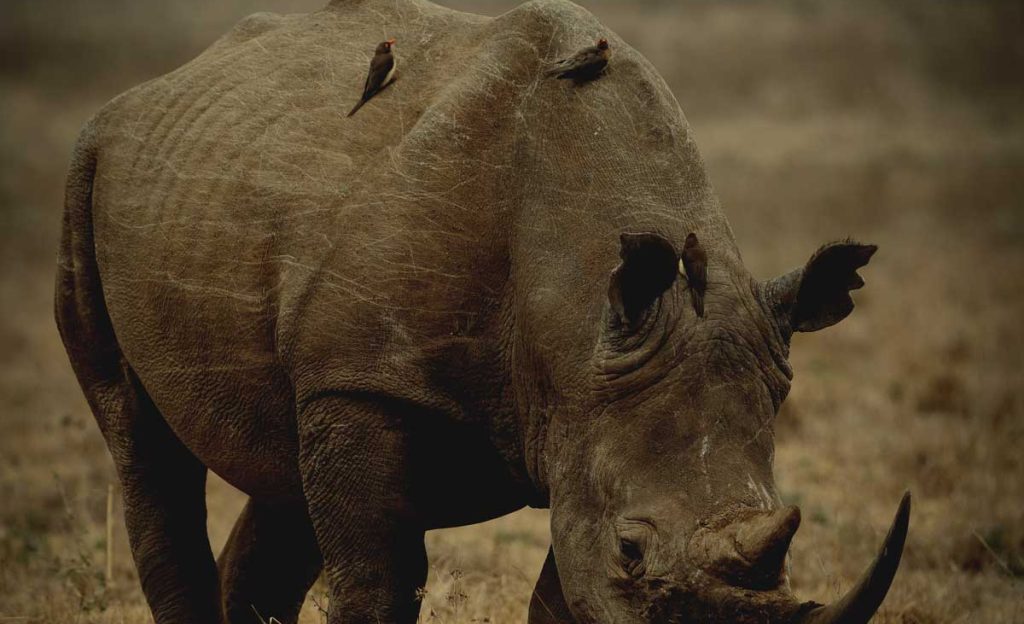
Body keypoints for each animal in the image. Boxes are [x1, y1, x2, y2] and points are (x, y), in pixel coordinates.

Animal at [54, 0, 910, 622]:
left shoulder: (587, 415)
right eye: (632, 552)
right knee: (141, 441)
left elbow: (560, 594)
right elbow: (381, 580)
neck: (572, 306)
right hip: (88, 167)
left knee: (279, 468)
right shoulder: (365, 381)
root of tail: (164, 83)